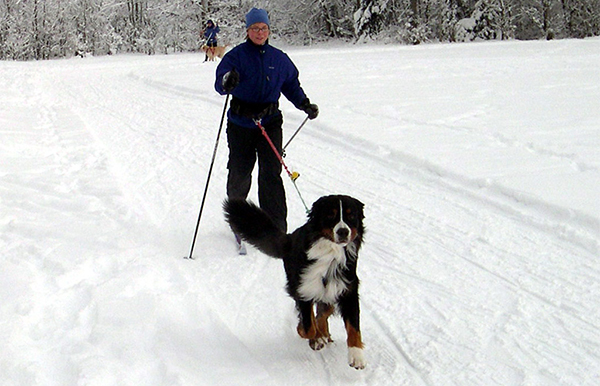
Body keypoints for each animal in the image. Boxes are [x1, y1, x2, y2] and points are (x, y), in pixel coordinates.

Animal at [224, 195, 366, 370]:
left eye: (351, 216)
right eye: (330, 215)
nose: (343, 231)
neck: (330, 254)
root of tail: (290, 237)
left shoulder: (348, 289)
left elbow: (353, 327)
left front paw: (356, 355)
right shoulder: (303, 288)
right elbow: (308, 326)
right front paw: (313, 337)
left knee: (324, 311)